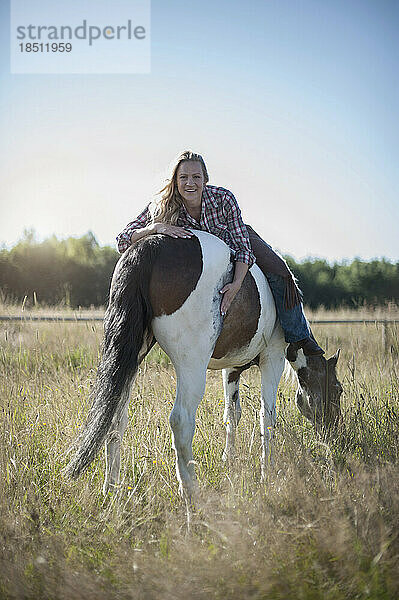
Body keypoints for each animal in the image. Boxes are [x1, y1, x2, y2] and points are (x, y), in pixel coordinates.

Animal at [66, 232, 344, 500]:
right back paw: (190, 492)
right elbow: (267, 416)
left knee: (115, 417)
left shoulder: (231, 369)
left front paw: (229, 460)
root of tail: (151, 245)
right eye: (338, 390)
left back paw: (111, 489)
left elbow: (232, 413)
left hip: (131, 360)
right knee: (181, 421)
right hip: (191, 366)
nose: (333, 432)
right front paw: (268, 475)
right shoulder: (272, 358)